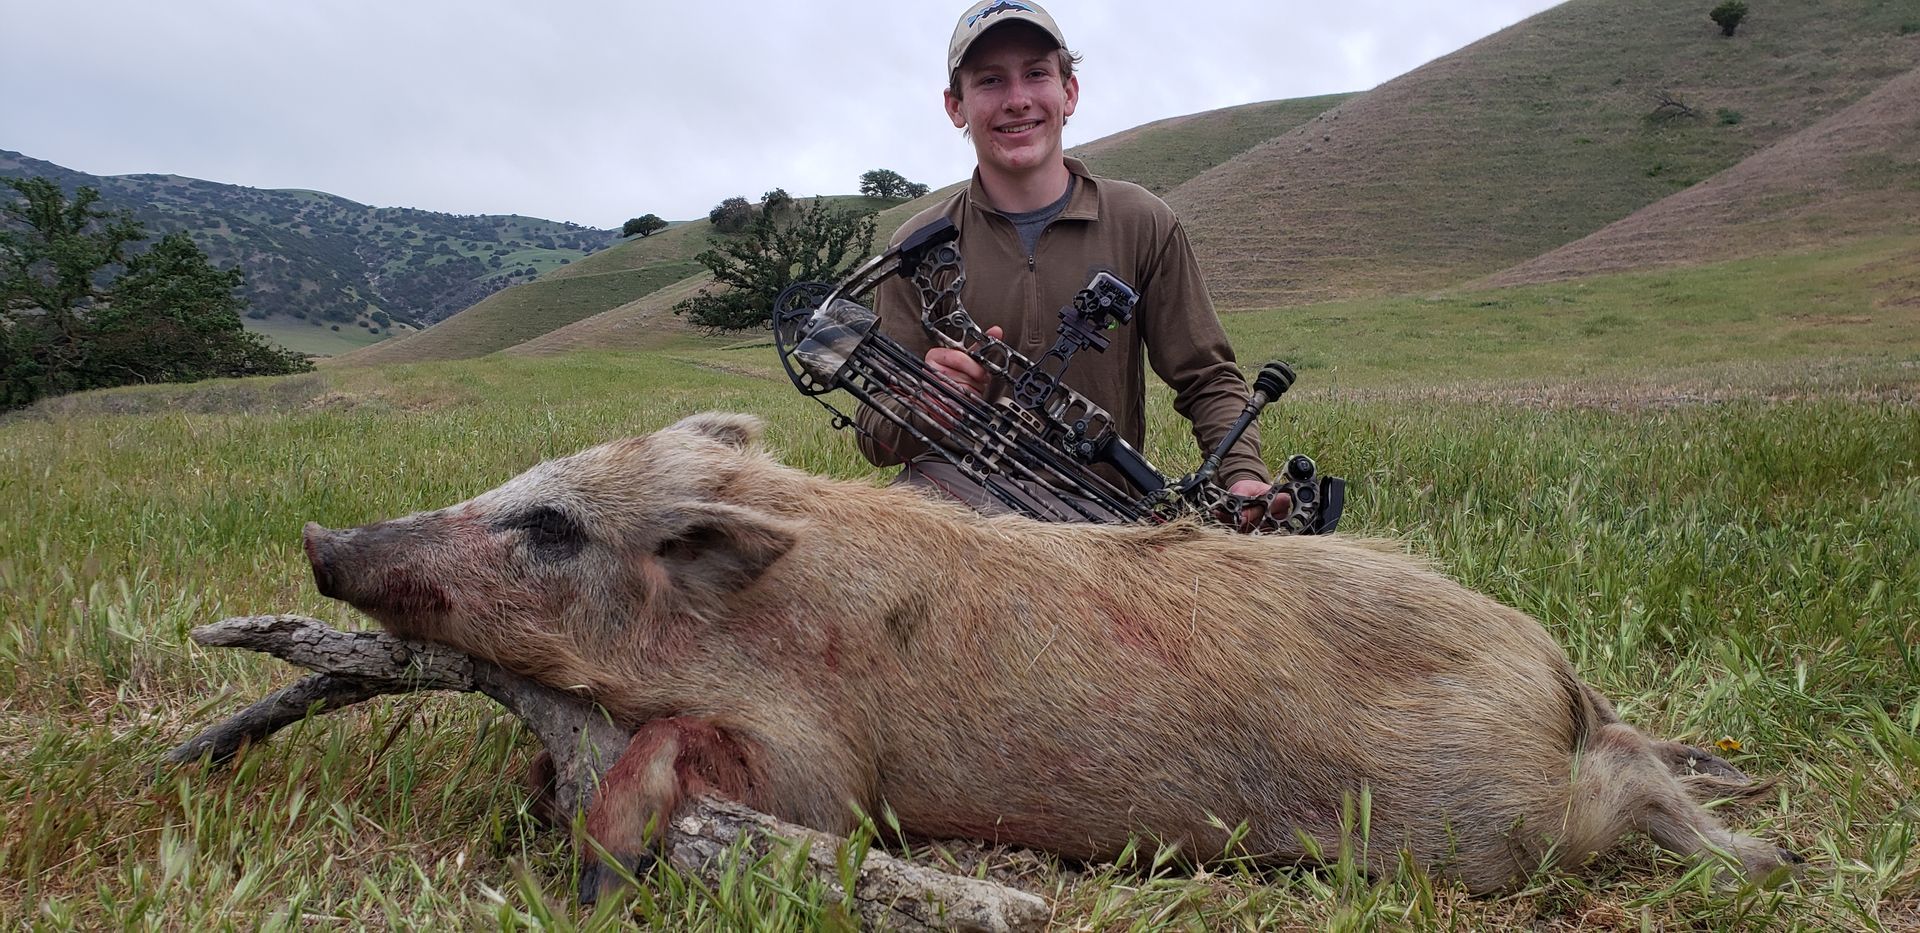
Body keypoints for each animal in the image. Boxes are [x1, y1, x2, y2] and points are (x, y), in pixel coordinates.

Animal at [302, 412, 1797, 900]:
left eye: (549, 525)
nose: (321, 537)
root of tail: (1549, 662)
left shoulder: (831, 766)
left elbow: (725, 769)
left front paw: (595, 863)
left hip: (1473, 827)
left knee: (1623, 798)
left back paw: (1764, 856)